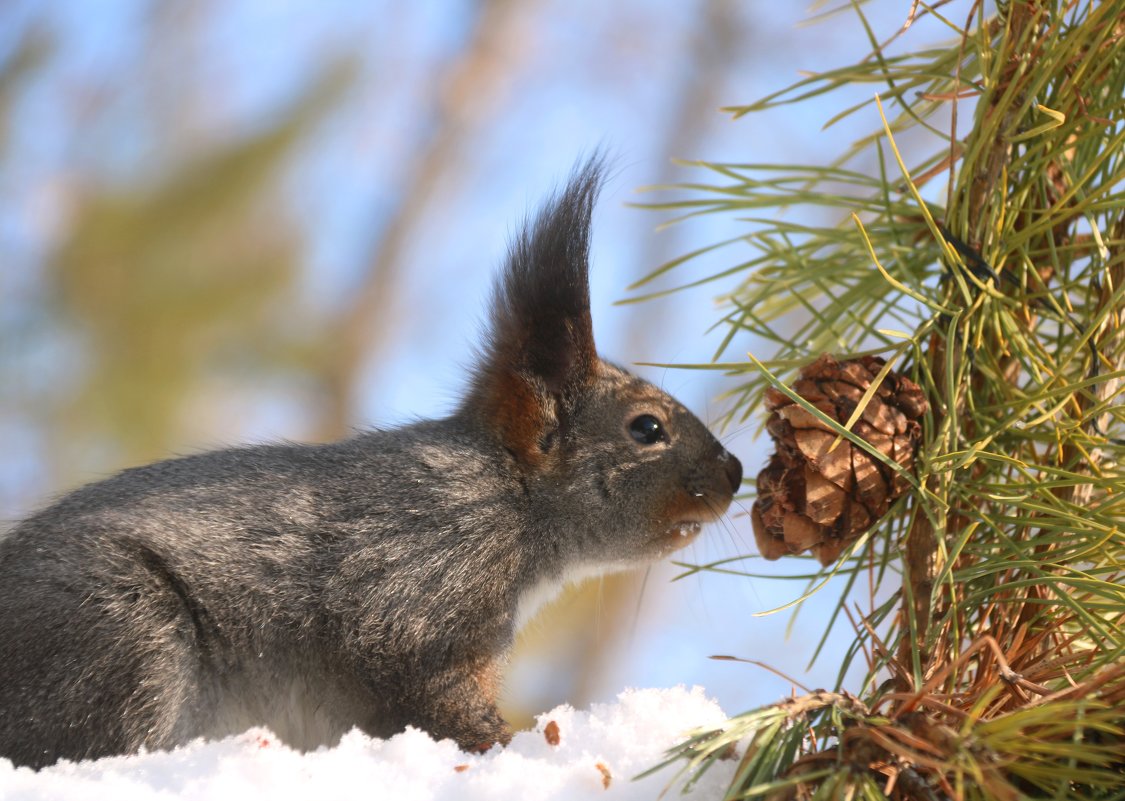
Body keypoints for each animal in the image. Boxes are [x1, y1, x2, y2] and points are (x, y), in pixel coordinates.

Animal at [0, 157, 738, 769]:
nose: (733, 474)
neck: (507, 498)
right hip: (121, 638)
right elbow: (426, 687)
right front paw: (512, 746)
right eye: (647, 428)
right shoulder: (417, 584)